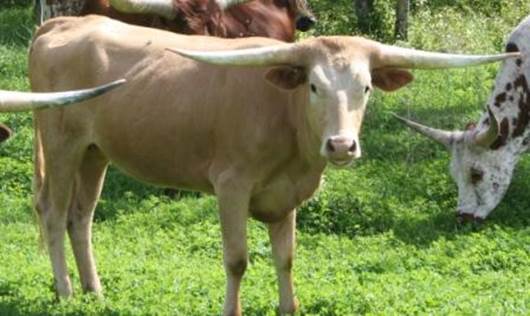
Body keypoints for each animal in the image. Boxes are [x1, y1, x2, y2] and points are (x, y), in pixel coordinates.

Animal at [29, 15, 516, 316]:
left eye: (366, 87)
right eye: (314, 86)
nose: (341, 145)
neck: (285, 115)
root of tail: (66, 22)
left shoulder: (289, 194)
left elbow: (286, 257)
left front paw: (288, 306)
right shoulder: (231, 186)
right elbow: (237, 259)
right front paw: (233, 309)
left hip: (94, 152)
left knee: (80, 217)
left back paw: (94, 289)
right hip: (61, 144)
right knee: (53, 213)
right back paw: (66, 291)